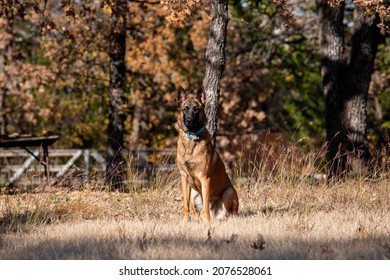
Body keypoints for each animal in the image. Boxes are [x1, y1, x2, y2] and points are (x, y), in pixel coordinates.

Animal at [176, 85, 238, 221]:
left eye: (196, 109)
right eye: (185, 109)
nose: (189, 120)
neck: (191, 137)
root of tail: (215, 212)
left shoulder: (204, 178)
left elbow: (205, 206)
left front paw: (206, 222)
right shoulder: (184, 178)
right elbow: (185, 205)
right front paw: (185, 221)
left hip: (229, 192)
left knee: (226, 213)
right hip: (194, 194)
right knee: (197, 210)